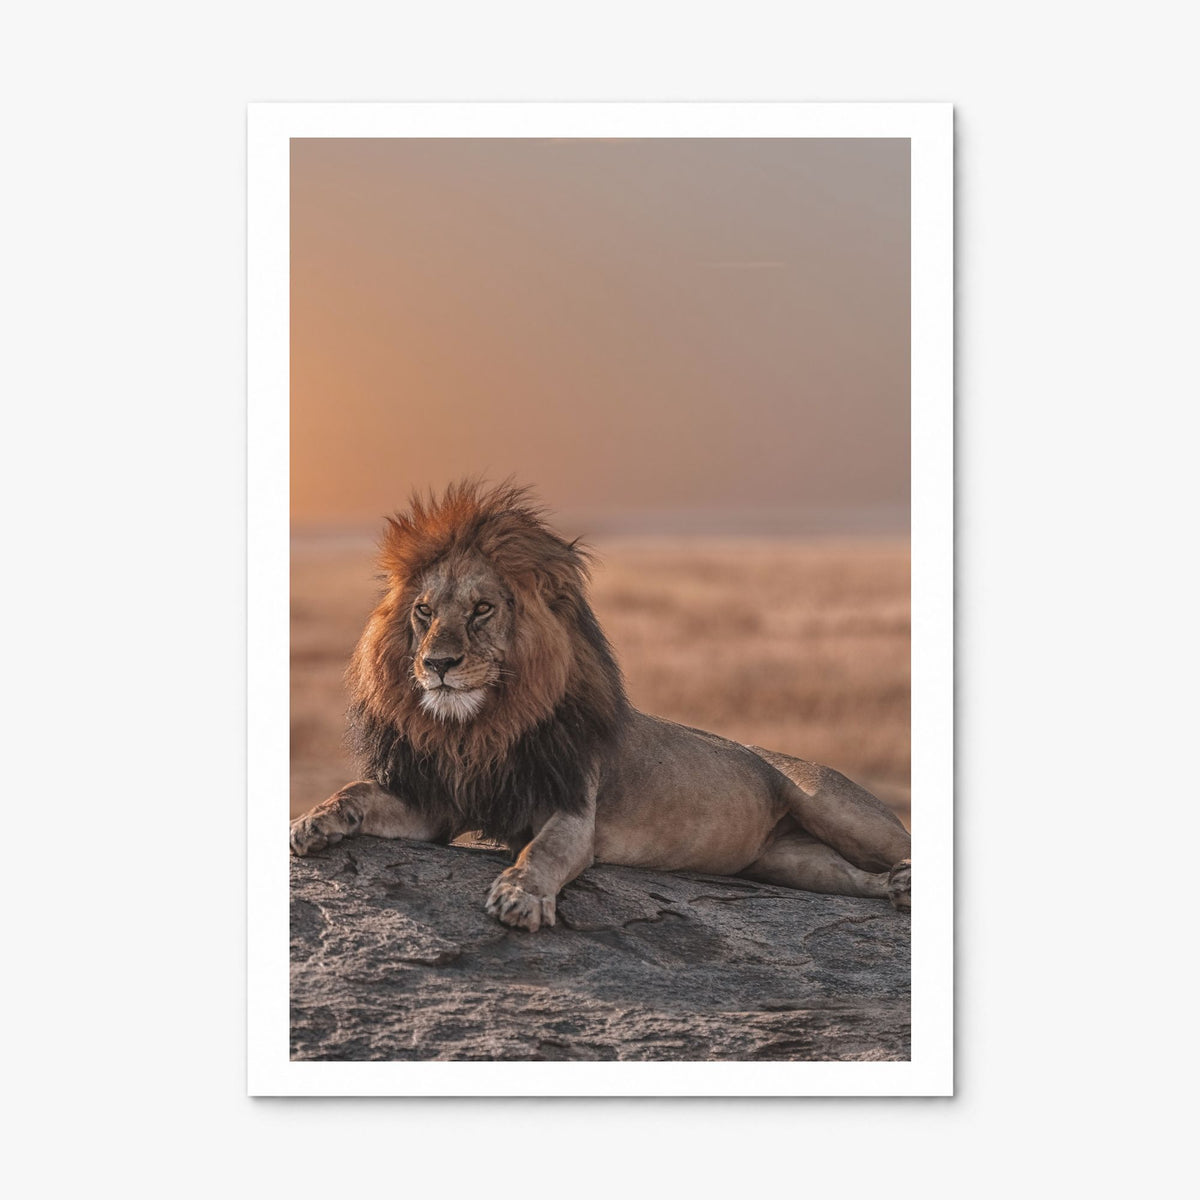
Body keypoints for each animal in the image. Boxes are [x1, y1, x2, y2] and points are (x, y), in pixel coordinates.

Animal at [290, 481, 912, 931]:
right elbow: (358, 793)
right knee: (851, 878)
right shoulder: (437, 804)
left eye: (482, 609)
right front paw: (314, 821)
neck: (479, 728)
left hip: (836, 808)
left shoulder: (570, 810)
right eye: (423, 611)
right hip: (789, 860)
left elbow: (540, 853)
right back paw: (896, 889)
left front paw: (520, 897)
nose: (437, 664)